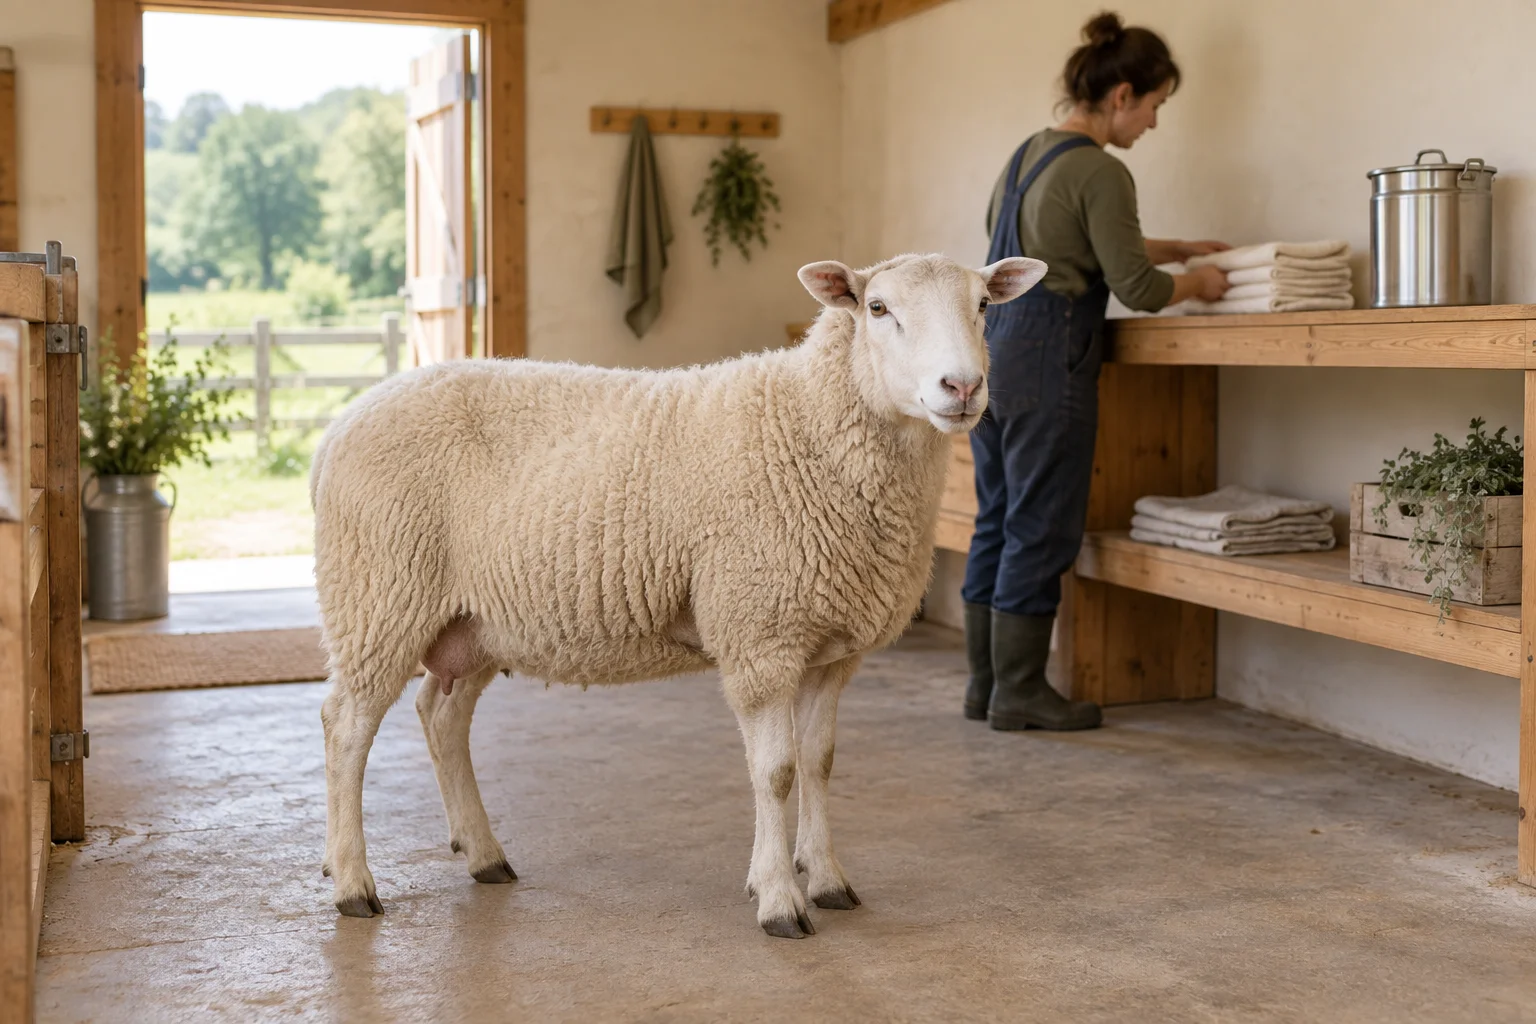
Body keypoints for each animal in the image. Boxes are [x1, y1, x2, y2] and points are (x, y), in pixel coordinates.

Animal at [311, 252, 1048, 938]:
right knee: (346, 726)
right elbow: (775, 772)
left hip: (474, 621)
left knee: (442, 715)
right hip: (378, 595)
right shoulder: (761, 635)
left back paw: (484, 855)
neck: (808, 423)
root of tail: (340, 425)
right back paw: (352, 883)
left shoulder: (830, 649)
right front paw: (780, 900)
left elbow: (818, 764)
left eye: (984, 304)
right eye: (877, 308)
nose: (962, 386)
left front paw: (827, 877)